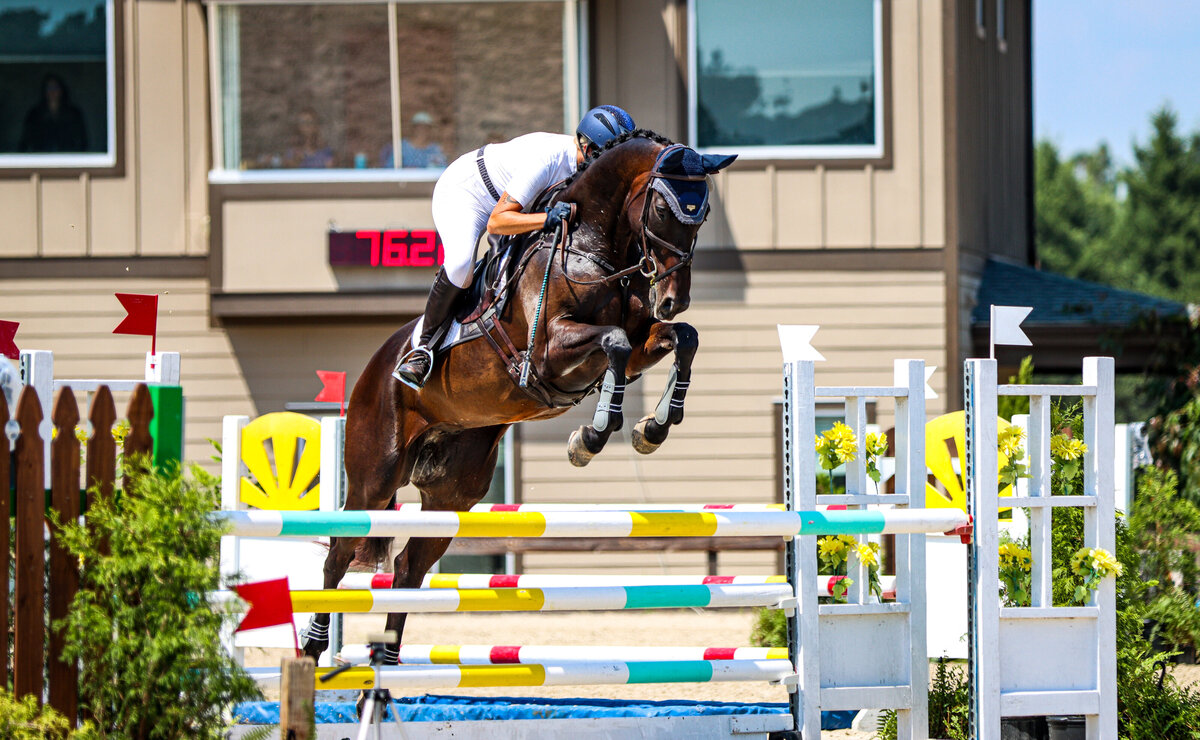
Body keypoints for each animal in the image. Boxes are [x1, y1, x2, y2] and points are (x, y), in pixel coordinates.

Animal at [300, 130, 735, 662]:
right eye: (659, 206)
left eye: (703, 214)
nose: (674, 299)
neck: (592, 250)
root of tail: (369, 372)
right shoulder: (550, 351)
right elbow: (613, 340)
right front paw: (590, 438)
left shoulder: (638, 347)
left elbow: (682, 338)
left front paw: (651, 428)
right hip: (375, 477)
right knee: (339, 554)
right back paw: (314, 648)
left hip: (453, 493)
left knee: (409, 567)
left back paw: (386, 664)